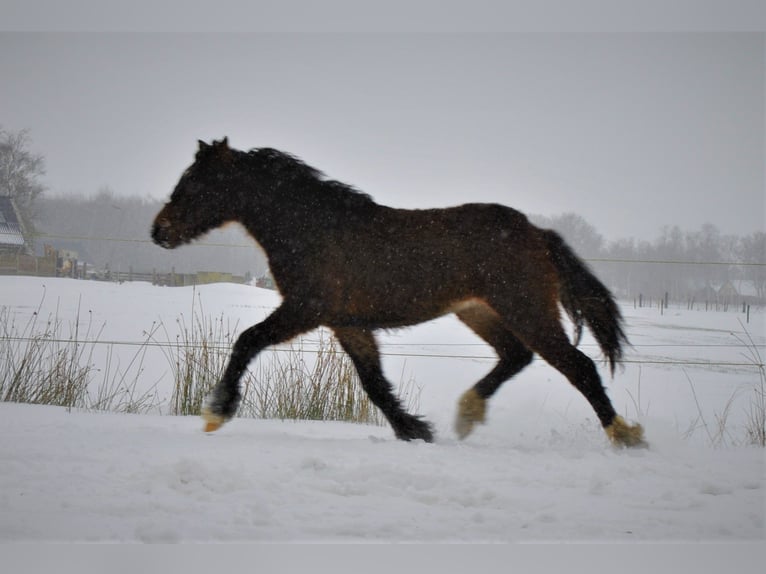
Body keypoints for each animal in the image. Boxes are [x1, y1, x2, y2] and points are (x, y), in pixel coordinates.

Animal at [153, 140, 644, 450]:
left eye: (195, 183)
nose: (159, 231)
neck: (313, 229)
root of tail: (538, 234)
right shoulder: (346, 323)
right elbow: (374, 382)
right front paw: (415, 430)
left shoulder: (307, 309)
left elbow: (247, 340)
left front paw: (216, 411)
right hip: (478, 312)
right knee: (515, 356)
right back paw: (467, 413)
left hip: (527, 310)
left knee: (577, 366)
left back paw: (626, 436)